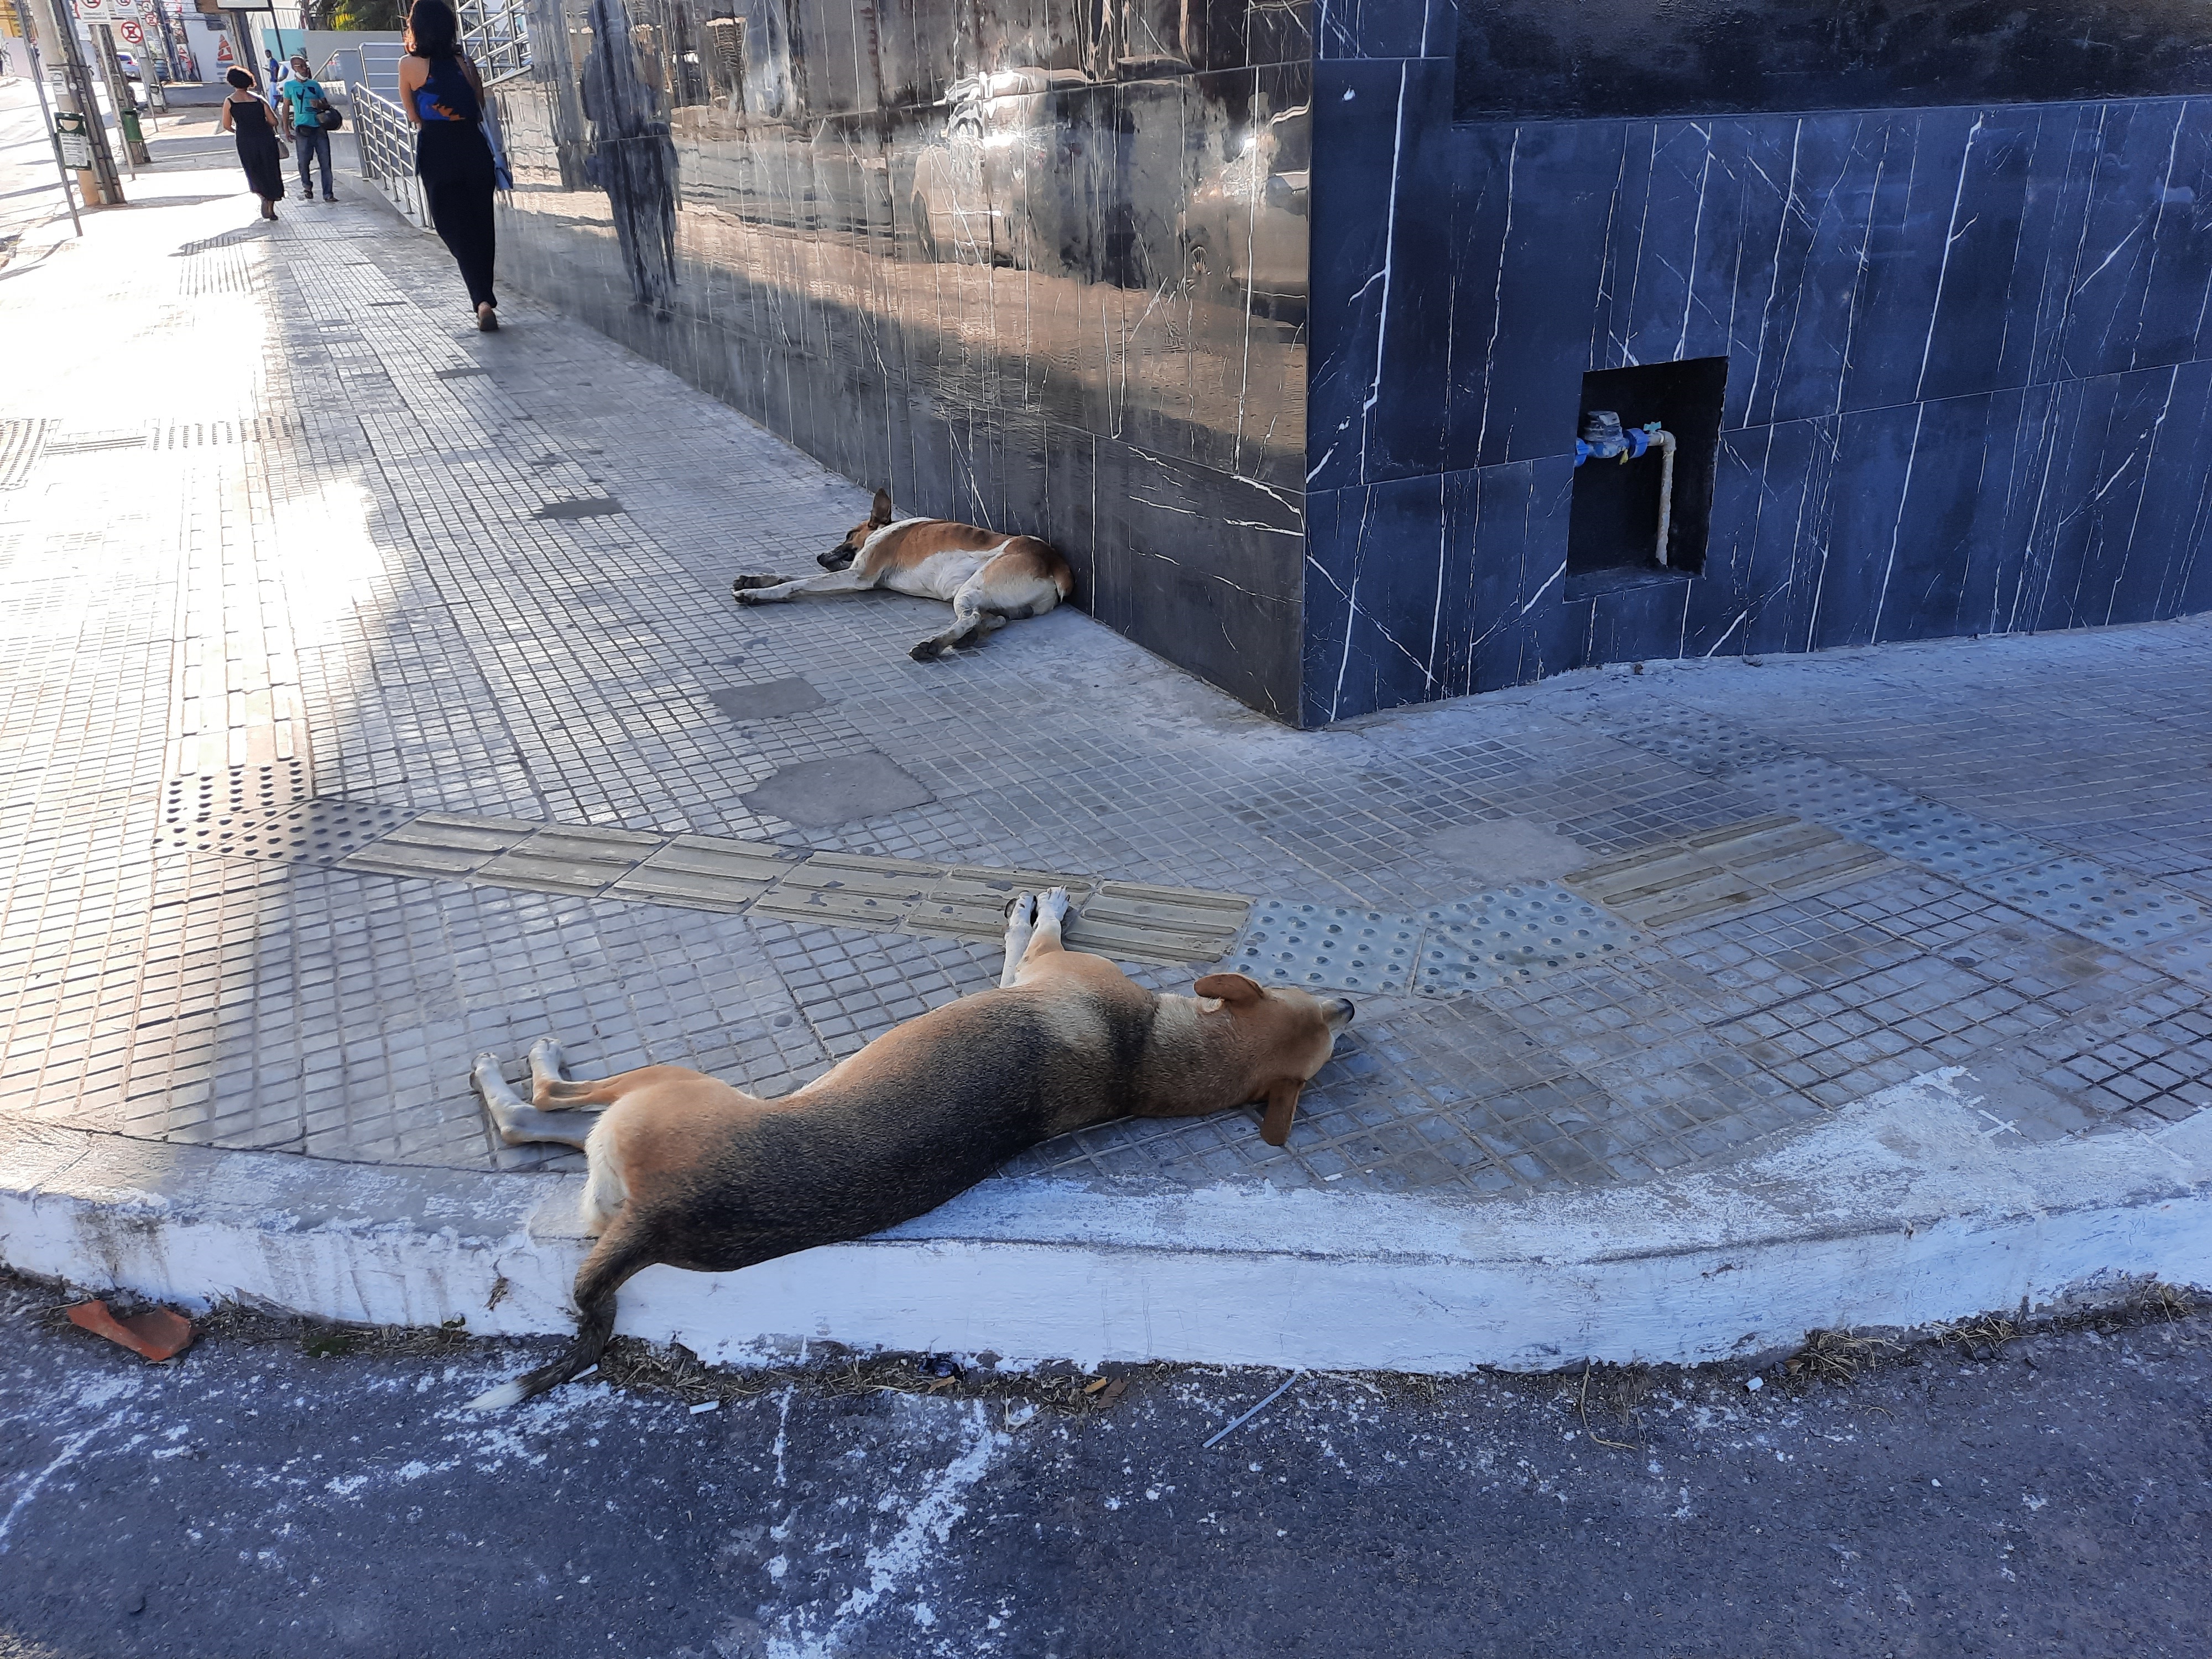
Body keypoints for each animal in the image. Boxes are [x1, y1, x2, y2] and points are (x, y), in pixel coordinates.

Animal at [467, 889, 1345, 1407]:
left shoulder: (1042, 968)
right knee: (548, 1127)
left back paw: (518, 1069)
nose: (1353, 1008)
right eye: (1320, 1017)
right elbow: (1022, 944)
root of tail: (660, 1220)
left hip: (669, 1087)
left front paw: (1042, 901)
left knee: (540, 1109)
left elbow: (1034, 934)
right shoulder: (1037, 979)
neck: (1149, 1056)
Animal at [730, 487, 1075, 664]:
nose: (819, 556)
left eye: (849, 534)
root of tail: (1054, 563)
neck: (885, 529)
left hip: (971, 588)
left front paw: (757, 593)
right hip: (989, 599)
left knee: (971, 617)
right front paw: (756, 579)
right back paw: (968, 638)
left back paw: (935, 645)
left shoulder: (859, 576)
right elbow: (788, 576)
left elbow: (799, 584)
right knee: (994, 619)